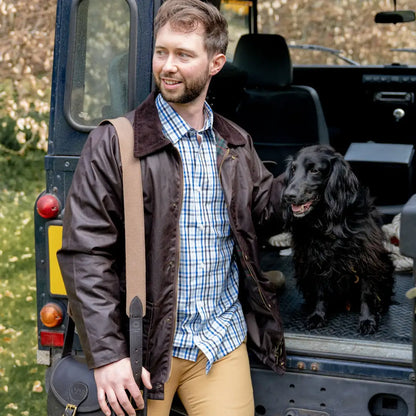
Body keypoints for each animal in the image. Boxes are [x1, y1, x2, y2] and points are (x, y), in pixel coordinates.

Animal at [282, 144, 394, 334]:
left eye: (314, 170)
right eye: (293, 169)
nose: (288, 195)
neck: (328, 221)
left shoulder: (367, 257)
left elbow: (367, 292)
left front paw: (367, 319)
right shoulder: (315, 258)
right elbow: (320, 292)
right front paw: (318, 315)